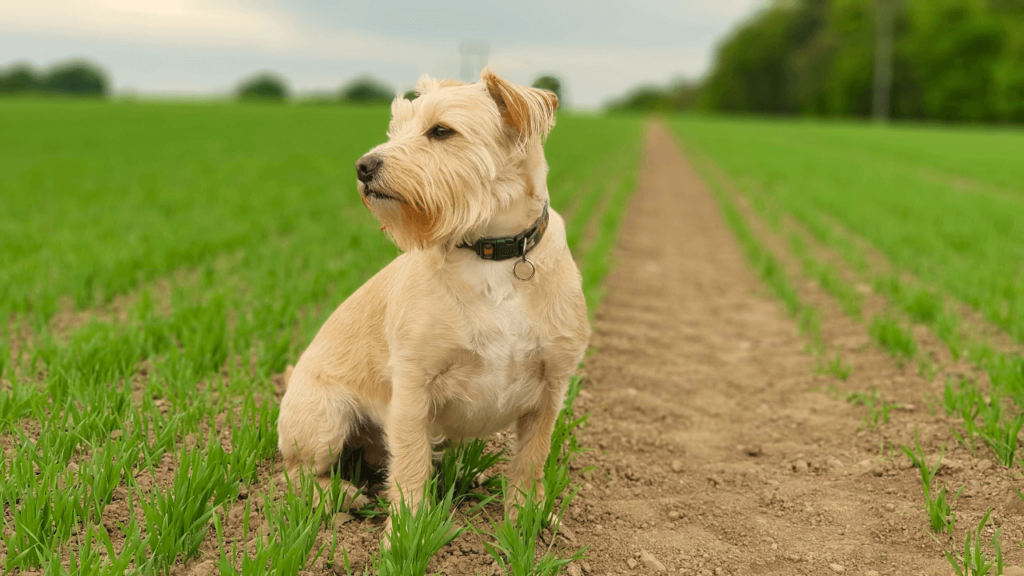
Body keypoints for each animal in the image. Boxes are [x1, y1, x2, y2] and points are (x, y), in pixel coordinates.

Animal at [276, 66, 589, 516]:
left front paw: (526, 518)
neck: (490, 255)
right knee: (295, 474)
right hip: (323, 419)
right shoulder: (413, 385)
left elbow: (531, 460)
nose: (363, 166)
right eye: (395, 129)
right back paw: (340, 494)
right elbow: (409, 467)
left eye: (441, 130)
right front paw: (408, 531)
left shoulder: (551, 387)